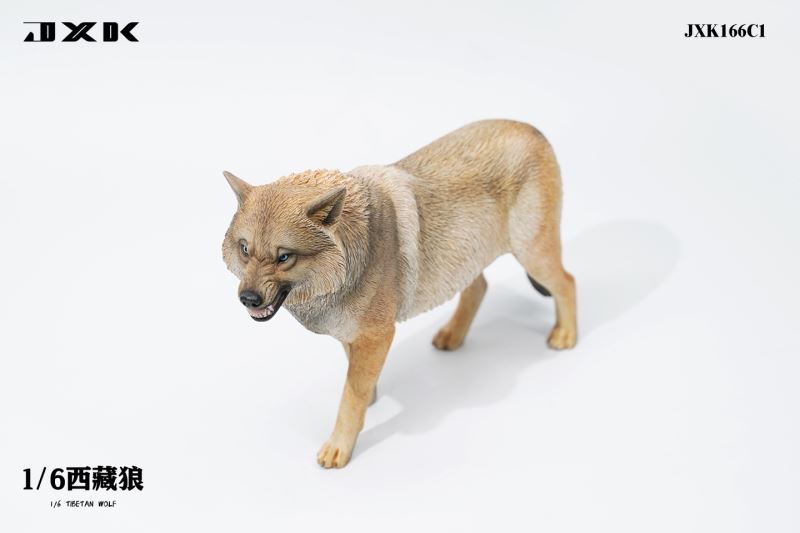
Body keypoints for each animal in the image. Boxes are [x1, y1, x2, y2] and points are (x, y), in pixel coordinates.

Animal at [222, 119, 577, 468]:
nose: (248, 299)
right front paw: (372, 398)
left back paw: (565, 335)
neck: (354, 252)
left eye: (284, 257)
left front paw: (340, 446)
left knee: (567, 282)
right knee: (480, 288)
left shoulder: (378, 335)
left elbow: (351, 395)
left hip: (532, 254)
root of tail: (532, 129)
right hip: (464, 259)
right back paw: (453, 335)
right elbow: (357, 379)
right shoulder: (354, 334)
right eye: (244, 249)